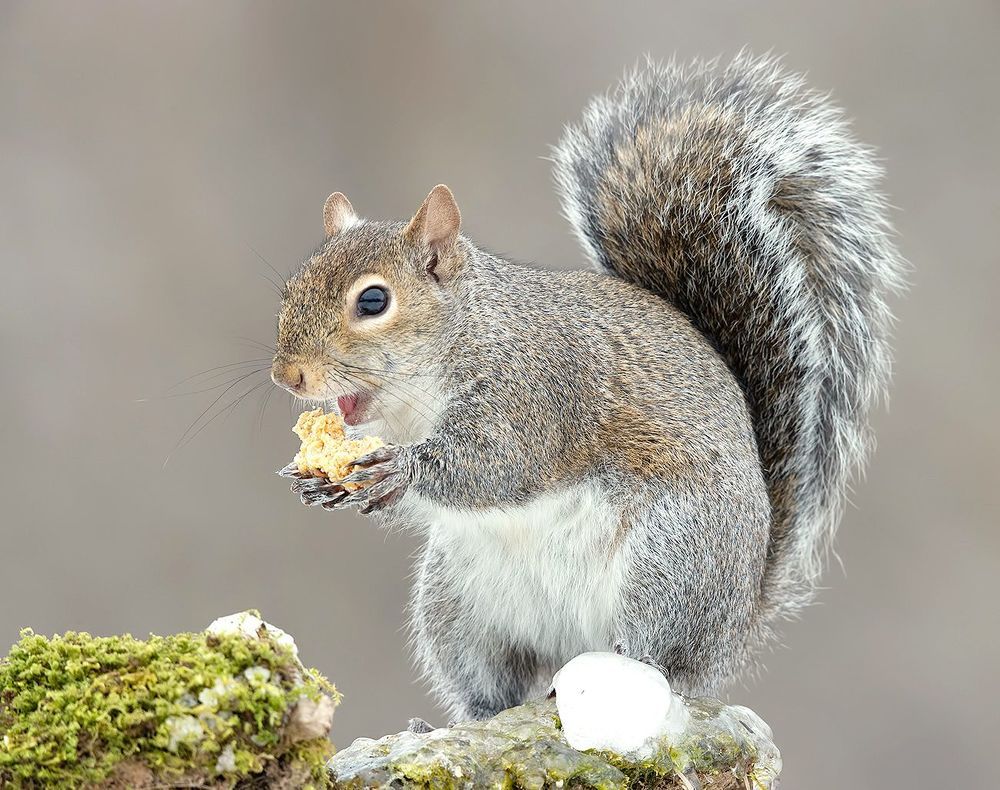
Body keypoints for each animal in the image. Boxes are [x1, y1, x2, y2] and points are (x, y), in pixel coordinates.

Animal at [271, 52, 904, 721]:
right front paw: (316, 480)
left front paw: (400, 468)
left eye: (373, 301)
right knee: (491, 685)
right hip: (458, 606)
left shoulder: (535, 391)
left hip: (670, 564)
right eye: (289, 290)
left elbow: (498, 465)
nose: (288, 375)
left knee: (654, 658)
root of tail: (732, 629)